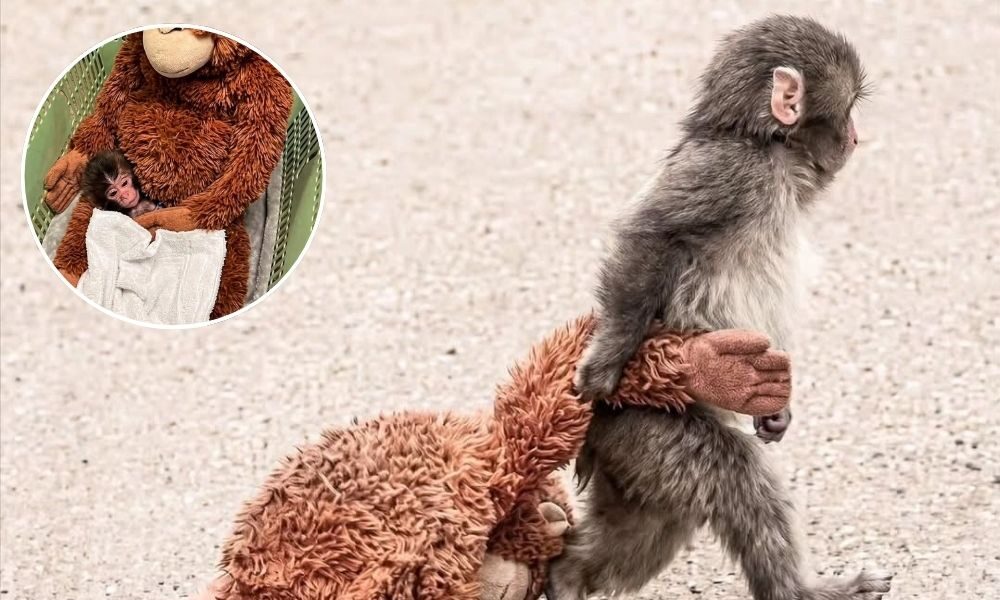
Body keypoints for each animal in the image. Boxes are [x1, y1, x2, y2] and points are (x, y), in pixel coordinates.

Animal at [546, 16, 892, 600]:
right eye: (847, 108)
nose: (855, 136)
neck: (766, 147)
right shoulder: (731, 171)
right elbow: (651, 235)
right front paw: (605, 362)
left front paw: (777, 412)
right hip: (645, 427)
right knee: (734, 476)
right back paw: (800, 590)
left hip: (634, 459)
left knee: (651, 522)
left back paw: (566, 574)